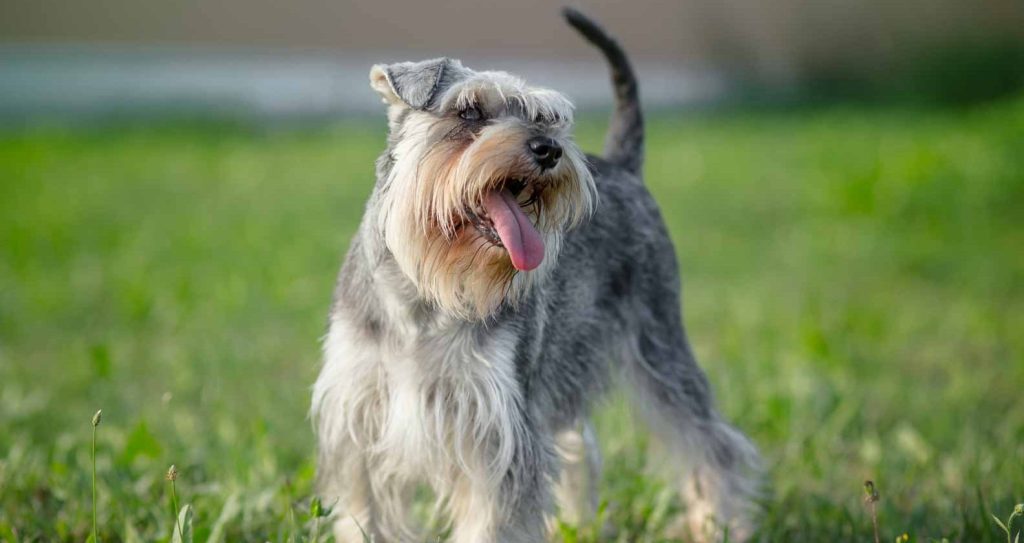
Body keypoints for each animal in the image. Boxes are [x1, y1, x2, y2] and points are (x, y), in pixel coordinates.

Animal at [311, 8, 761, 540]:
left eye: (546, 117)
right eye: (468, 112)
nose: (549, 149)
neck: (422, 296)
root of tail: (624, 166)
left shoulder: (497, 436)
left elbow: (492, 522)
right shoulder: (359, 425)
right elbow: (367, 517)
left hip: (659, 346)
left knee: (711, 446)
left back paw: (719, 524)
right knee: (581, 447)